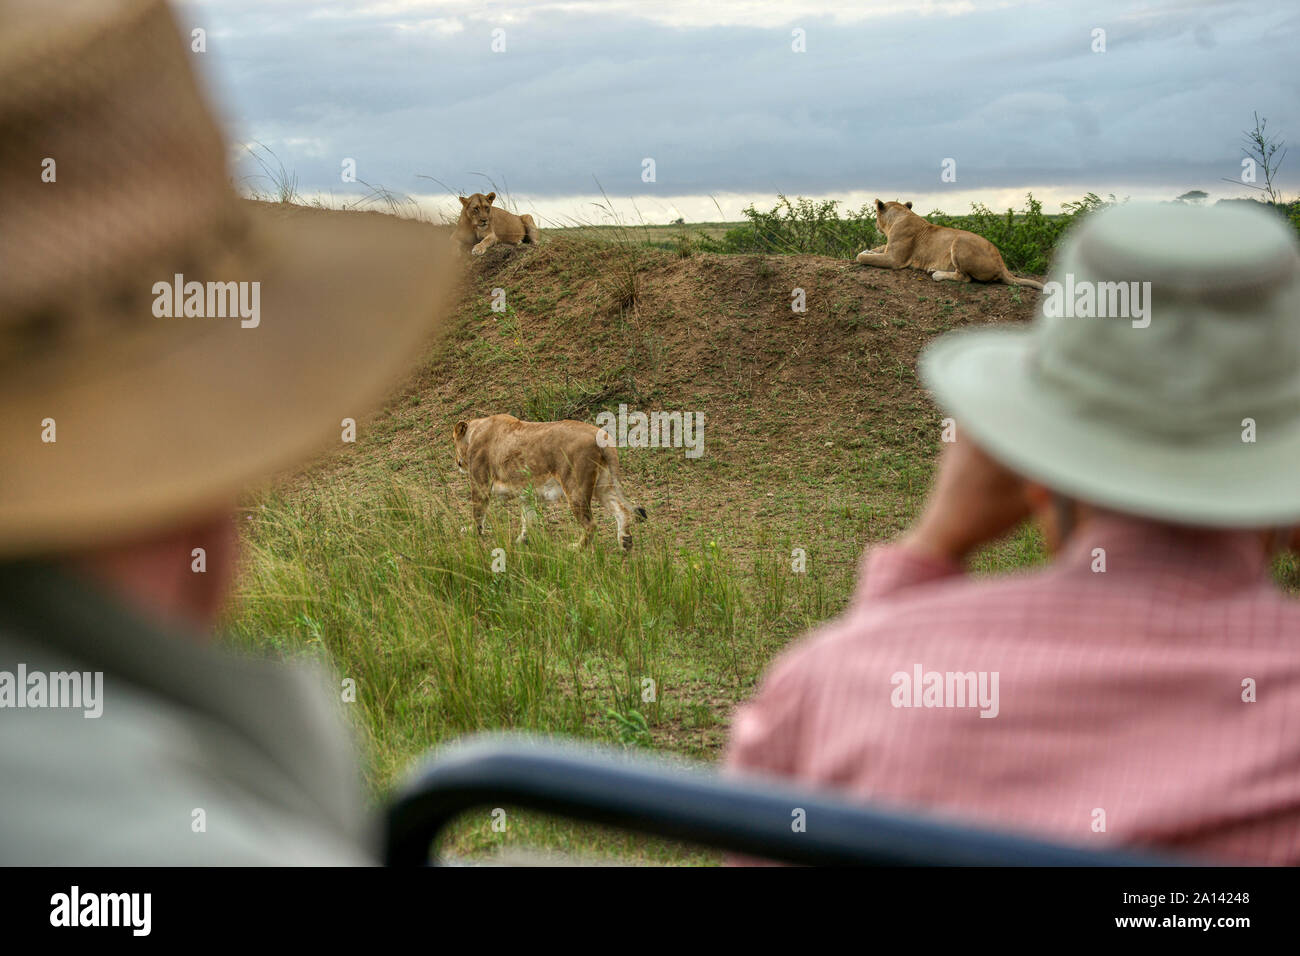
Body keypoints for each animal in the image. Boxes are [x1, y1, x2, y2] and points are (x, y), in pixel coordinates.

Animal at [454, 413, 647, 554]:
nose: (458, 462)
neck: (475, 431)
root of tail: (602, 436)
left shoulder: (480, 483)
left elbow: (478, 512)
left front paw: (472, 531)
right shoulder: (525, 492)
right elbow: (528, 518)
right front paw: (522, 540)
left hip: (575, 488)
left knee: (591, 524)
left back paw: (576, 548)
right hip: (603, 486)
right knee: (621, 511)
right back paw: (625, 543)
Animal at [852, 200, 1045, 290]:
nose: (875, 225)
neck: (899, 215)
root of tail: (1002, 263)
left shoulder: (894, 259)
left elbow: (861, 257)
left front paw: (863, 254)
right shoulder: (888, 249)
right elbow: (875, 249)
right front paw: (868, 249)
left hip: (960, 241)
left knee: (965, 277)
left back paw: (936, 274)